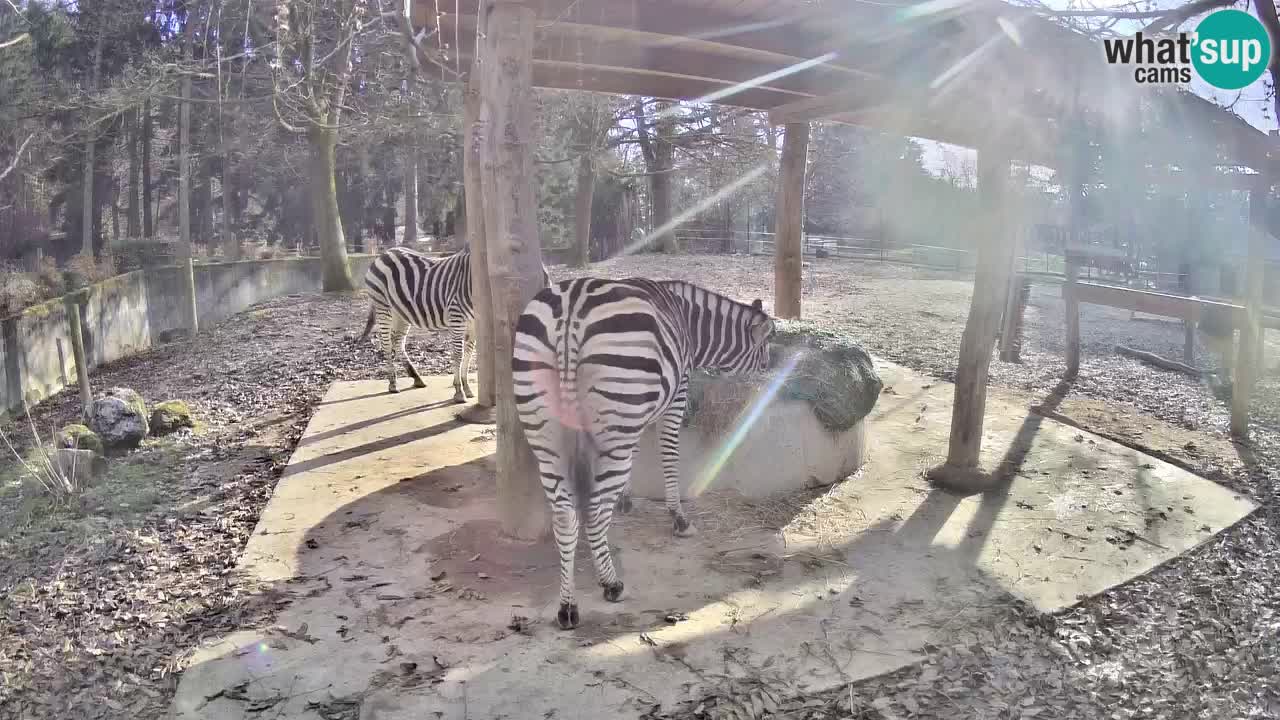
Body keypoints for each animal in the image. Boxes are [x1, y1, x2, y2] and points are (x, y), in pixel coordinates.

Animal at [506, 278, 768, 625]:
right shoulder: (676, 394)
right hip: (615, 409)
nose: (770, 370)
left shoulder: (637, 413)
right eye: (767, 346)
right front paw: (678, 517)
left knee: (564, 517)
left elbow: (639, 452)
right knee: (592, 512)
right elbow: (668, 454)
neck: (689, 321)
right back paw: (611, 585)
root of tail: (572, 307)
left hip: (547, 434)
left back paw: (567, 606)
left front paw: (625, 499)